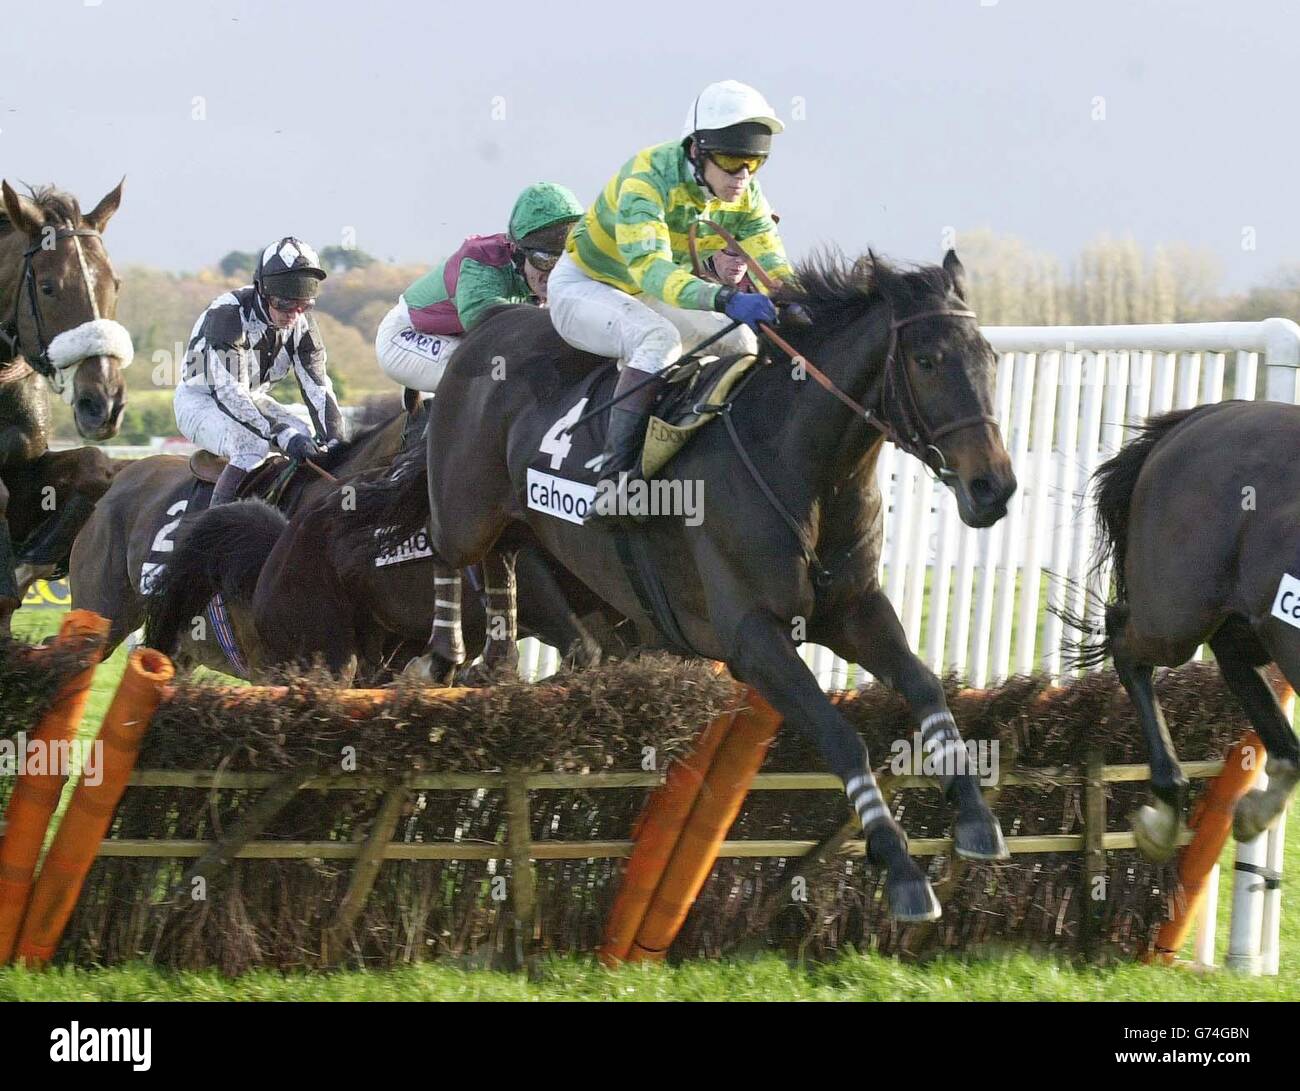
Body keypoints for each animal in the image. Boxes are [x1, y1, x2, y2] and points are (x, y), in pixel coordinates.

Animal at [353, 249, 1013, 920]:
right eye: (927, 361)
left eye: (988, 357)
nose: (994, 488)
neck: (802, 467)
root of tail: (491, 325)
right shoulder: (752, 640)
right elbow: (841, 737)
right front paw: (901, 868)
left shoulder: (853, 606)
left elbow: (925, 686)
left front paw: (976, 818)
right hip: (468, 506)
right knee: (444, 541)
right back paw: (445, 656)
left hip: (517, 519)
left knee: (504, 560)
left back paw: (500, 659)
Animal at [1081, 400, 1300, 863]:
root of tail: (1203, 415)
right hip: (1175, 618)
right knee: (1126, 644)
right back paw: (1165, 813)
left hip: (1251, 622)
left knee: (1235, 662)